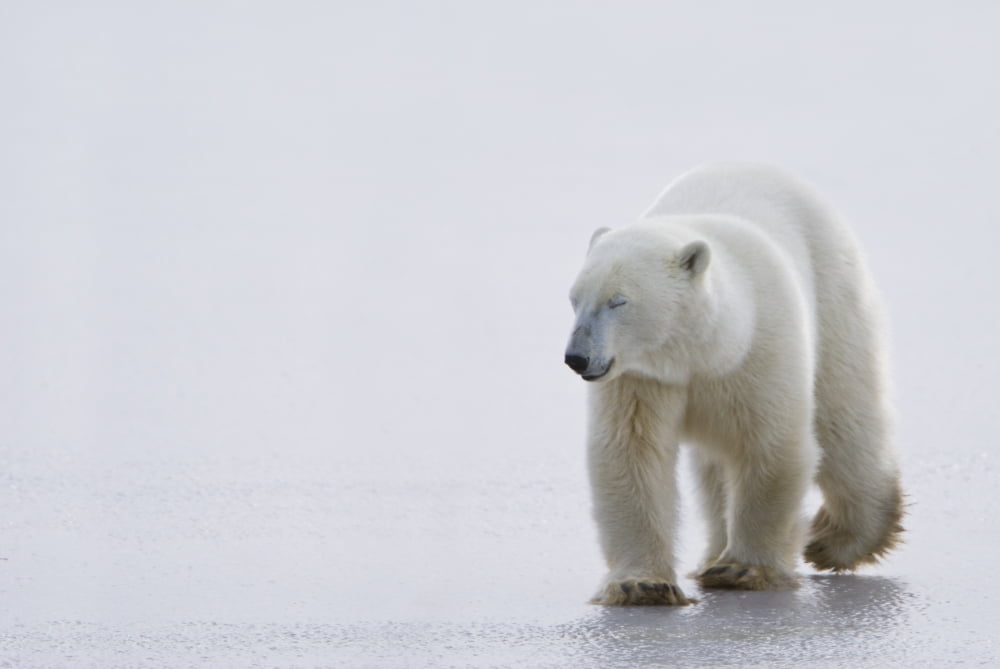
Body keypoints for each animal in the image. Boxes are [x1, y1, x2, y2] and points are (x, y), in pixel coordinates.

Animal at [564, 162, 903, 606]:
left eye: (618, 301)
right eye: (574, 298)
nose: (576, 357)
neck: (703, 353)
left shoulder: (757, 352)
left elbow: (770, 445)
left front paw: (743, 568)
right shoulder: (642, 378)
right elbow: (632, 453)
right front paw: (642, 584)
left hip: (833, 290)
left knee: (844, 413)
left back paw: (841, 539)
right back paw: (712, 553)